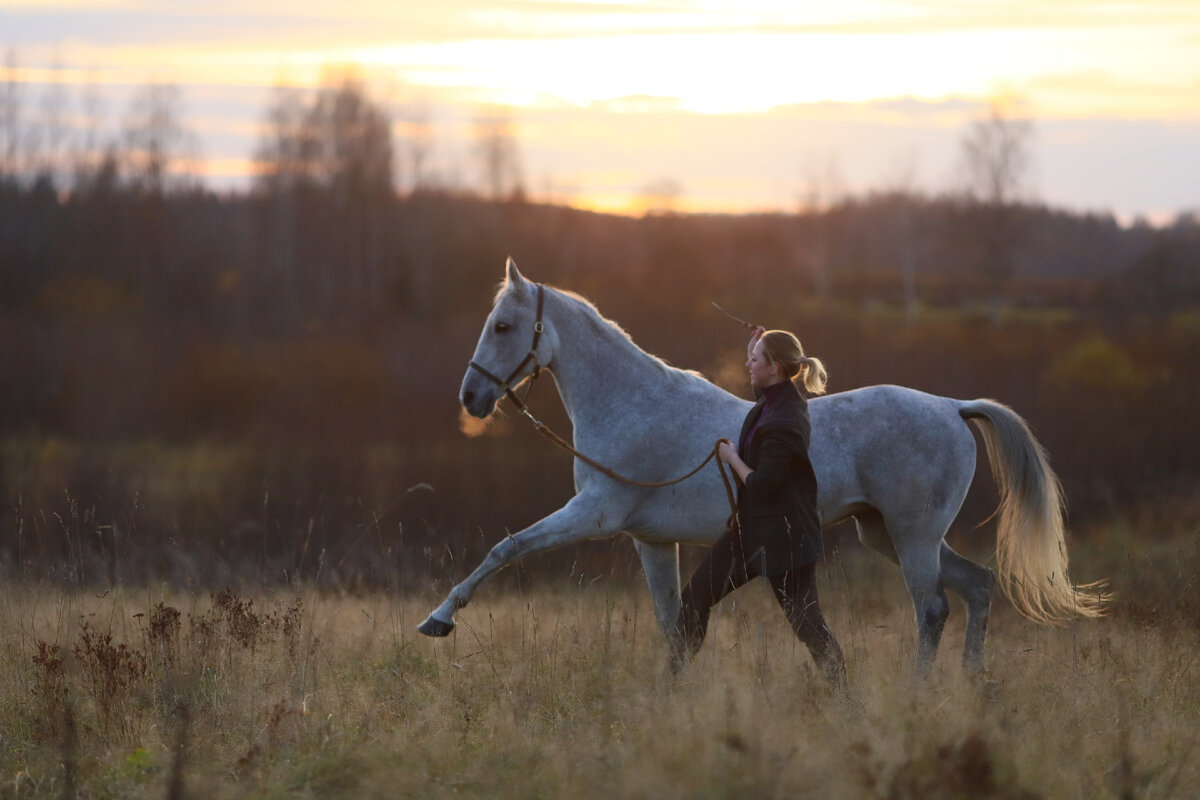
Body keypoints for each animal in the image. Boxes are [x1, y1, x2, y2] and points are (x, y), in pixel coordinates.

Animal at [422, 260, 1104, 671]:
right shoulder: (650, 540)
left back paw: (921, 693)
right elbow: (674, 622)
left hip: (912, 537)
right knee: (978, 587)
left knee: (933, 607)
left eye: (503, 325)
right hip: (885, 533)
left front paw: (439, 619)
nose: (471, 398)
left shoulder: (593, 514)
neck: (631, 404)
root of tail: (953, 408)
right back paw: (971, 687)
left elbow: (506, 548)